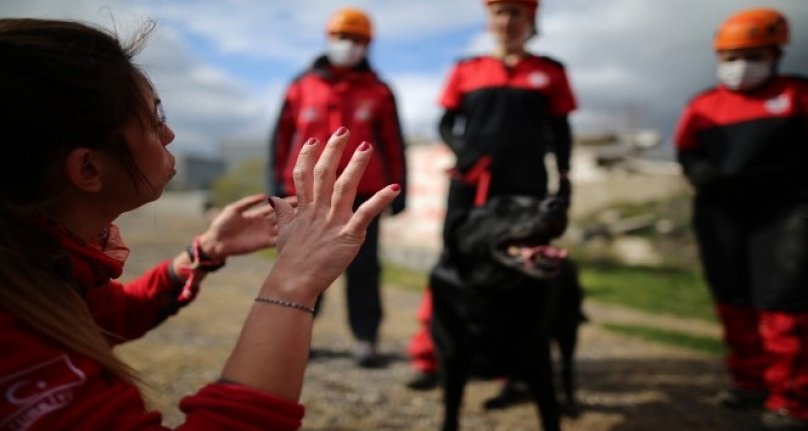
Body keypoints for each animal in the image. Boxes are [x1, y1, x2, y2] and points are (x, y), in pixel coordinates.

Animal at [432, 194, 584, 430]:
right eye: (504, 207)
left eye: (535, 199)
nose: (557, 203)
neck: (490, 294)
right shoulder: (451, 361)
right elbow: (451, 411)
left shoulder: (539, 361)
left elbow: (550, 413)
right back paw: (503, 398)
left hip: (567, 329)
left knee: (567, 369)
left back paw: (570, 404)